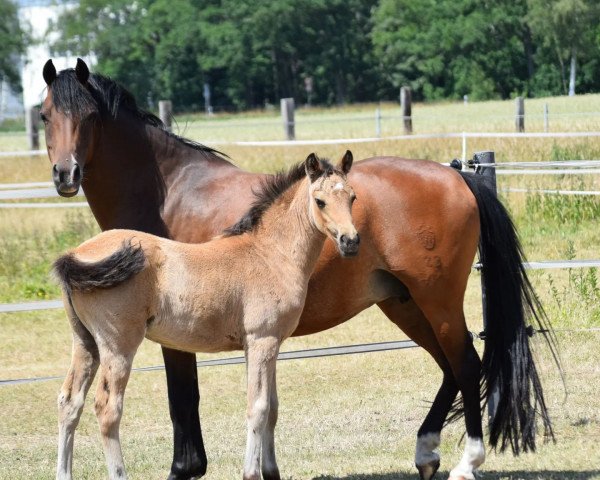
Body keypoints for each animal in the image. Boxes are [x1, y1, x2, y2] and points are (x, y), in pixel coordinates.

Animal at [52, 153, 356, 480]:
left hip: (85, 342)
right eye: (320, 201)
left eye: (352, 197)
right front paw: (251, 472)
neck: (269, 254)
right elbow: (258, 408)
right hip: (118, 346)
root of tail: (75, 255)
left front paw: (271, 472)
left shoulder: (266, 345)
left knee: (70, 402)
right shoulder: (262, 340)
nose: (351, 241)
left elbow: (272, 408)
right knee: (108, 408)